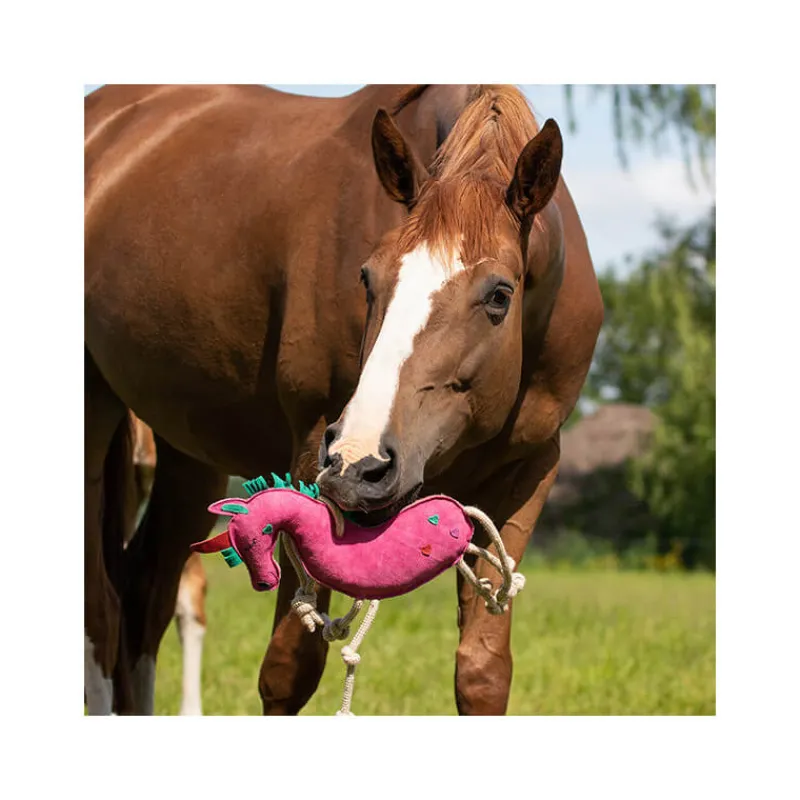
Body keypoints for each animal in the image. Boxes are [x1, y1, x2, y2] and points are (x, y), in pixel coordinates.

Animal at [84, 84, 602, 715]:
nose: (360, 464)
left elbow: (482, 672)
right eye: (367, 278)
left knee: (142, 605)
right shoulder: (310, 452)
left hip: (189, 455)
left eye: (500, 295)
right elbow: (289, 669)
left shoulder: (526, 473)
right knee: (103, 612)